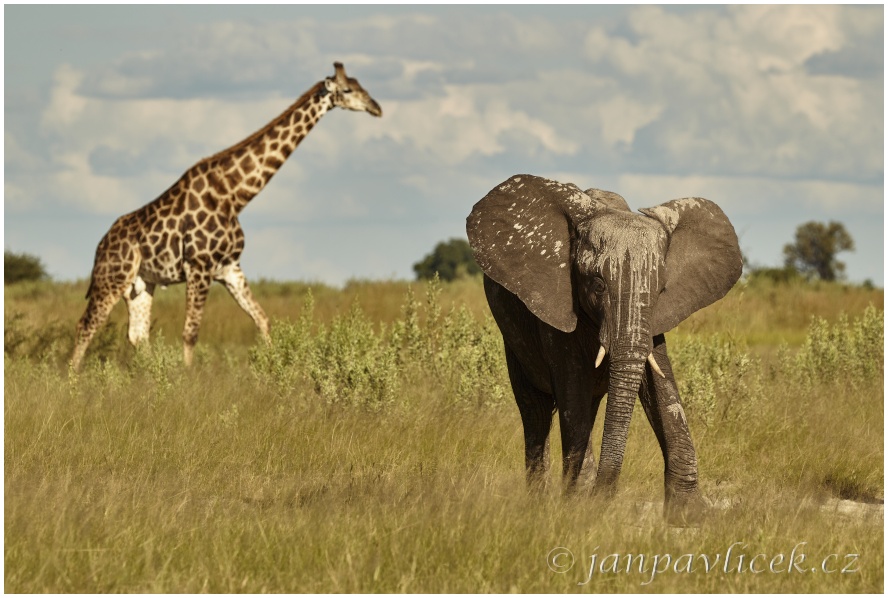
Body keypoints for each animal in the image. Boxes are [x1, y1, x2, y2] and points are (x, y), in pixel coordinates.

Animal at [71, 62, 384, 370]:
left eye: (361, 84)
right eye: (347, 89)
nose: (377, 108)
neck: (234, 196)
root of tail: (100, 246)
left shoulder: (230, 267)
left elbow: (263, 320)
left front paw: (275, 370)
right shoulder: (199, 266)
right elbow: (191, 332)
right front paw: (186, 379)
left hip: (141, 283)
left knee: (137, 334)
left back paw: (149, 375)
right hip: (112, 278)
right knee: (86, 325)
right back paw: (72, 378)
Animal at [464, 173, 744, 524]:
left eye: (661, 289)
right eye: (597, 284)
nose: (604, 497)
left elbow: (661, 387)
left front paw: (690, 516)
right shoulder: (556, 304)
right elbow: (573, 393)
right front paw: (580, 509)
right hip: (513, 339)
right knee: (535, 411)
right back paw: (538, 504)